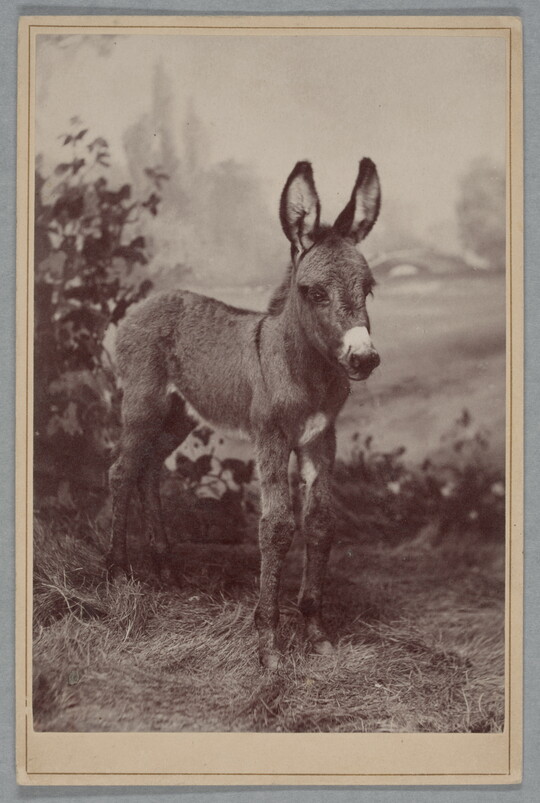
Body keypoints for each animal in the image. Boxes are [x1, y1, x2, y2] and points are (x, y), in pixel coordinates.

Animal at [108, 158, 381, 670]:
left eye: (369, 288)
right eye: (313, 292)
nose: (364, 359)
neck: (303, 368)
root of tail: (149, 301)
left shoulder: (322, 437)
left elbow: (321, 522)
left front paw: (316, 632)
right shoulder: (270, 436)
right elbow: (276, 527)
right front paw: (269, 644)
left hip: (181, 414)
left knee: (149, 468)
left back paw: (166, 571)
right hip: (142, 403)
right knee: (122, 470)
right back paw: (117, 573)